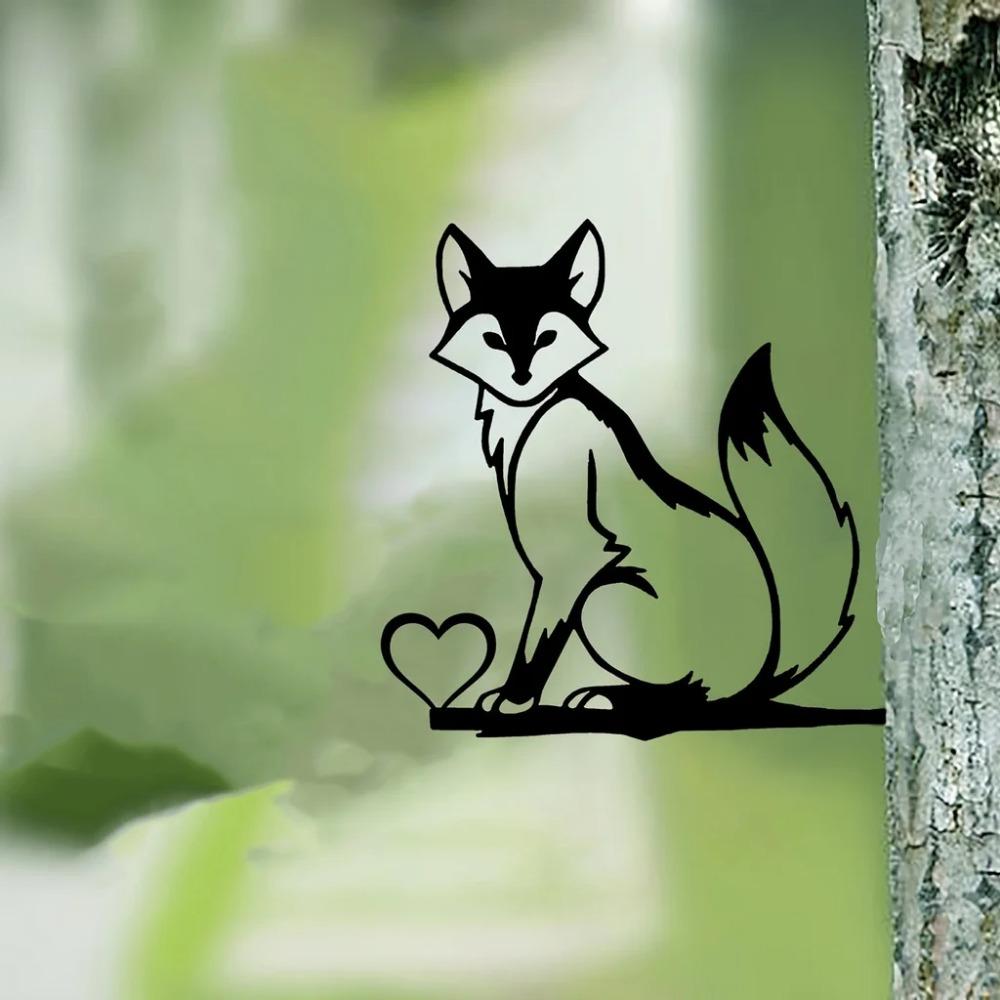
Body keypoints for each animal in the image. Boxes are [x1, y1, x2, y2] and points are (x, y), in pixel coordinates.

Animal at [429, 220, 858, 716]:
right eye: (493, 339)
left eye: (547, 338)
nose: (521, 377)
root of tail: (768, 662)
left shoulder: (571, 564)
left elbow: (540, 637)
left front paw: (515, 699)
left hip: (604, 594)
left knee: (697, 691)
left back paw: (620, 695)